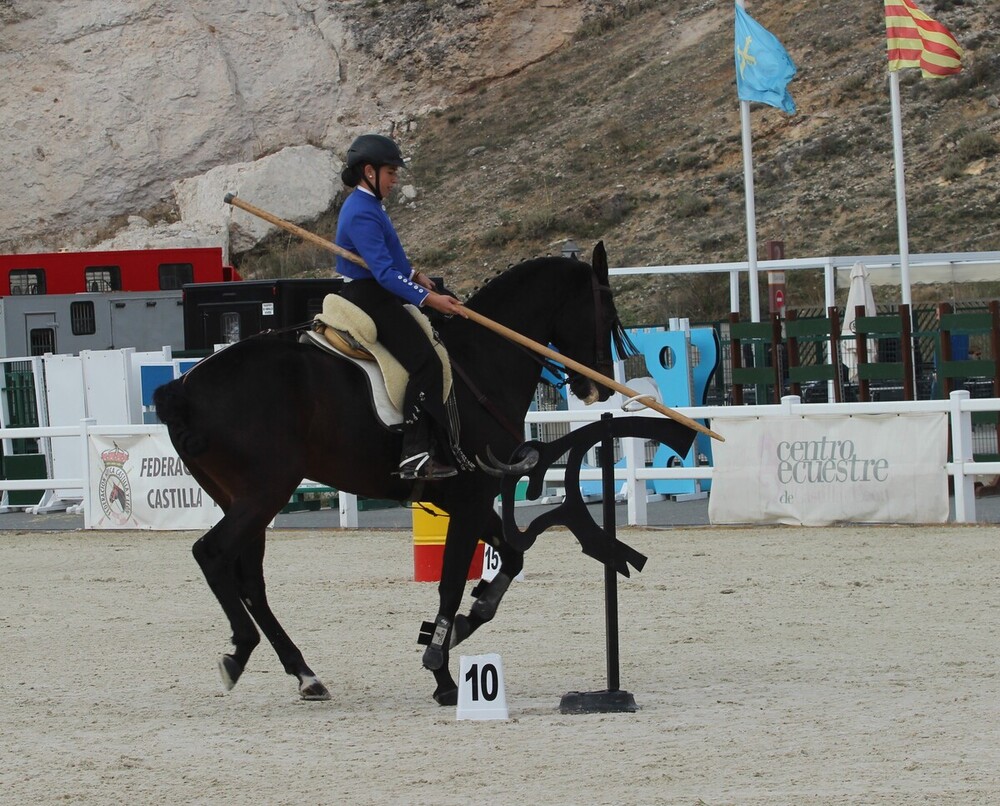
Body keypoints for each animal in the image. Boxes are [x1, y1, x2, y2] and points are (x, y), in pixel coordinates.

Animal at [152, 241, 636, 708]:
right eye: (608, 314)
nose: (600, 386)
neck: (483, 359)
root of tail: (184, 386)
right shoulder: (471, 498)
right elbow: (451, 584)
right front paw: (442, 673)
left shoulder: (468, 500)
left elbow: (511, 559)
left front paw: (465, 625)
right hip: (263, 494)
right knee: (212, 554)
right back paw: (240, 652)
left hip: (243, 499)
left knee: (251, 579)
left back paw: (305, 674)